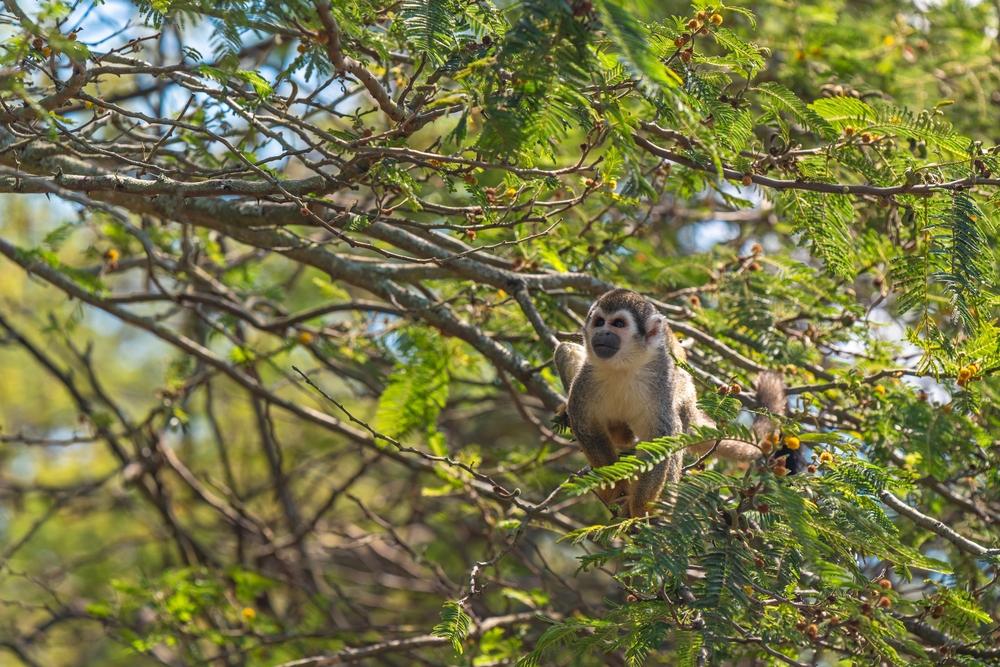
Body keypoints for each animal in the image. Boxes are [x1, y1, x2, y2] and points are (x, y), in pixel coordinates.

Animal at [554, 289, 787, 518]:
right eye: (600, 322)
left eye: (618, 324)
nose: (602, 333)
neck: (622, 366)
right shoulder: (586, 380)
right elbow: (586, 427)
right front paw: (615, 488)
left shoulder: (661, 377)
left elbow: (662, 437)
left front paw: (640, 509)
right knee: (563, 350)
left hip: (685, 396)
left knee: (676, 426)